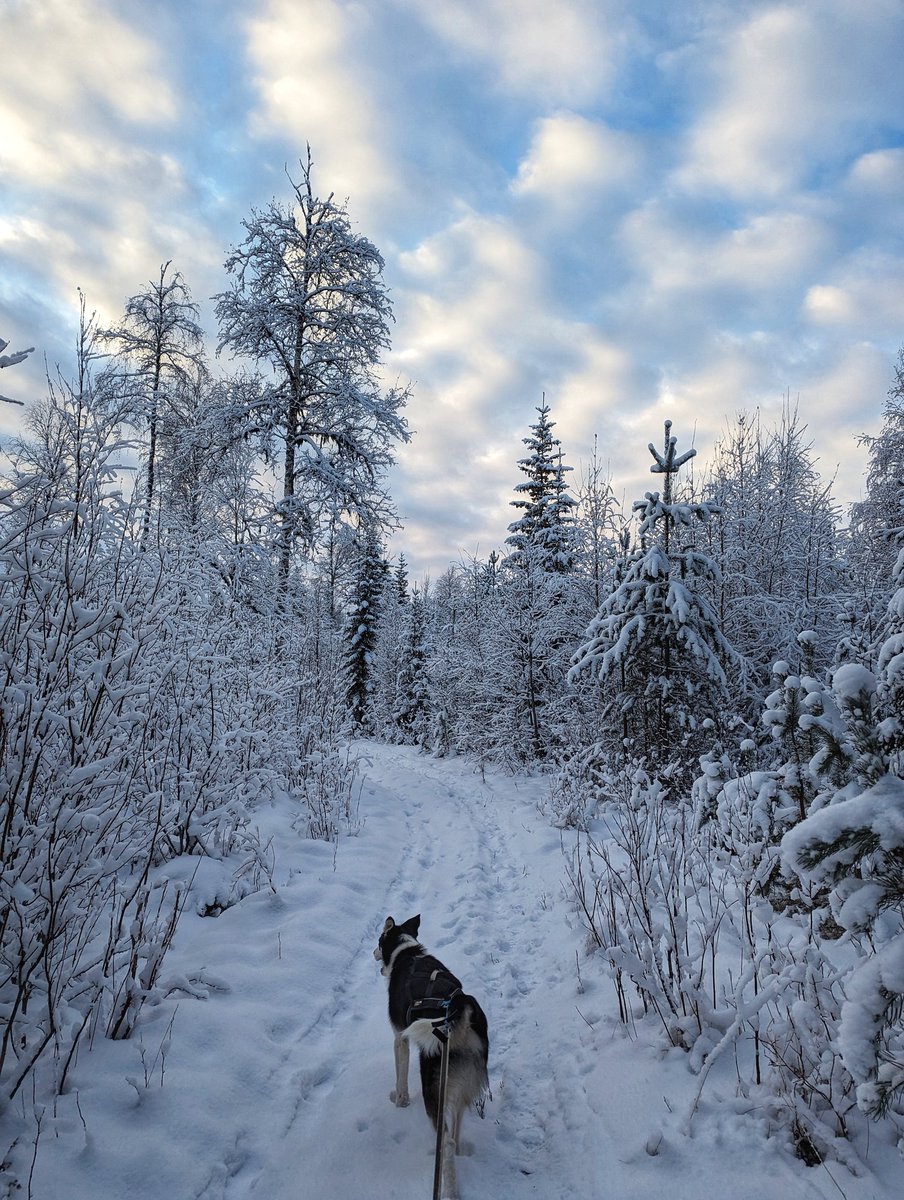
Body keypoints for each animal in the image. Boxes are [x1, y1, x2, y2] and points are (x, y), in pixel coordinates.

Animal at [372, 912, 489, 1195]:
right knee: (456, 1128)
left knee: (446, 1140)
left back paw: (449, 1191)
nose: (373, 953)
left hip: (433, 1087)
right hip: (462, 1084)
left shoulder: (400, 1038)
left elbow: (400, 1078)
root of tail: (460, 1008)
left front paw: (399, 1104)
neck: (406, 953)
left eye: (379, 940)